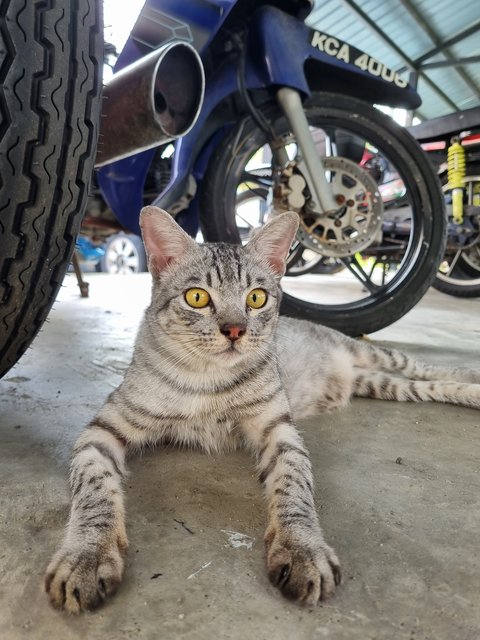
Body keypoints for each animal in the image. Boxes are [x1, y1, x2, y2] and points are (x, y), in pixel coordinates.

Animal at [45, 208, 480, 612]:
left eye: (256, 297)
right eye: (197, 297)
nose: (235, 330)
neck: (207, 380)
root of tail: (350, 366)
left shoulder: (279, 429)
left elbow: (295, 486)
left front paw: (302, 548)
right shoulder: (101, 430)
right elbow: (94, 491)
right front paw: (88, 554)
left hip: (376, 355)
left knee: (428, 368)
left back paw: (471, 380)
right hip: (383, 384)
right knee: (421, 385)